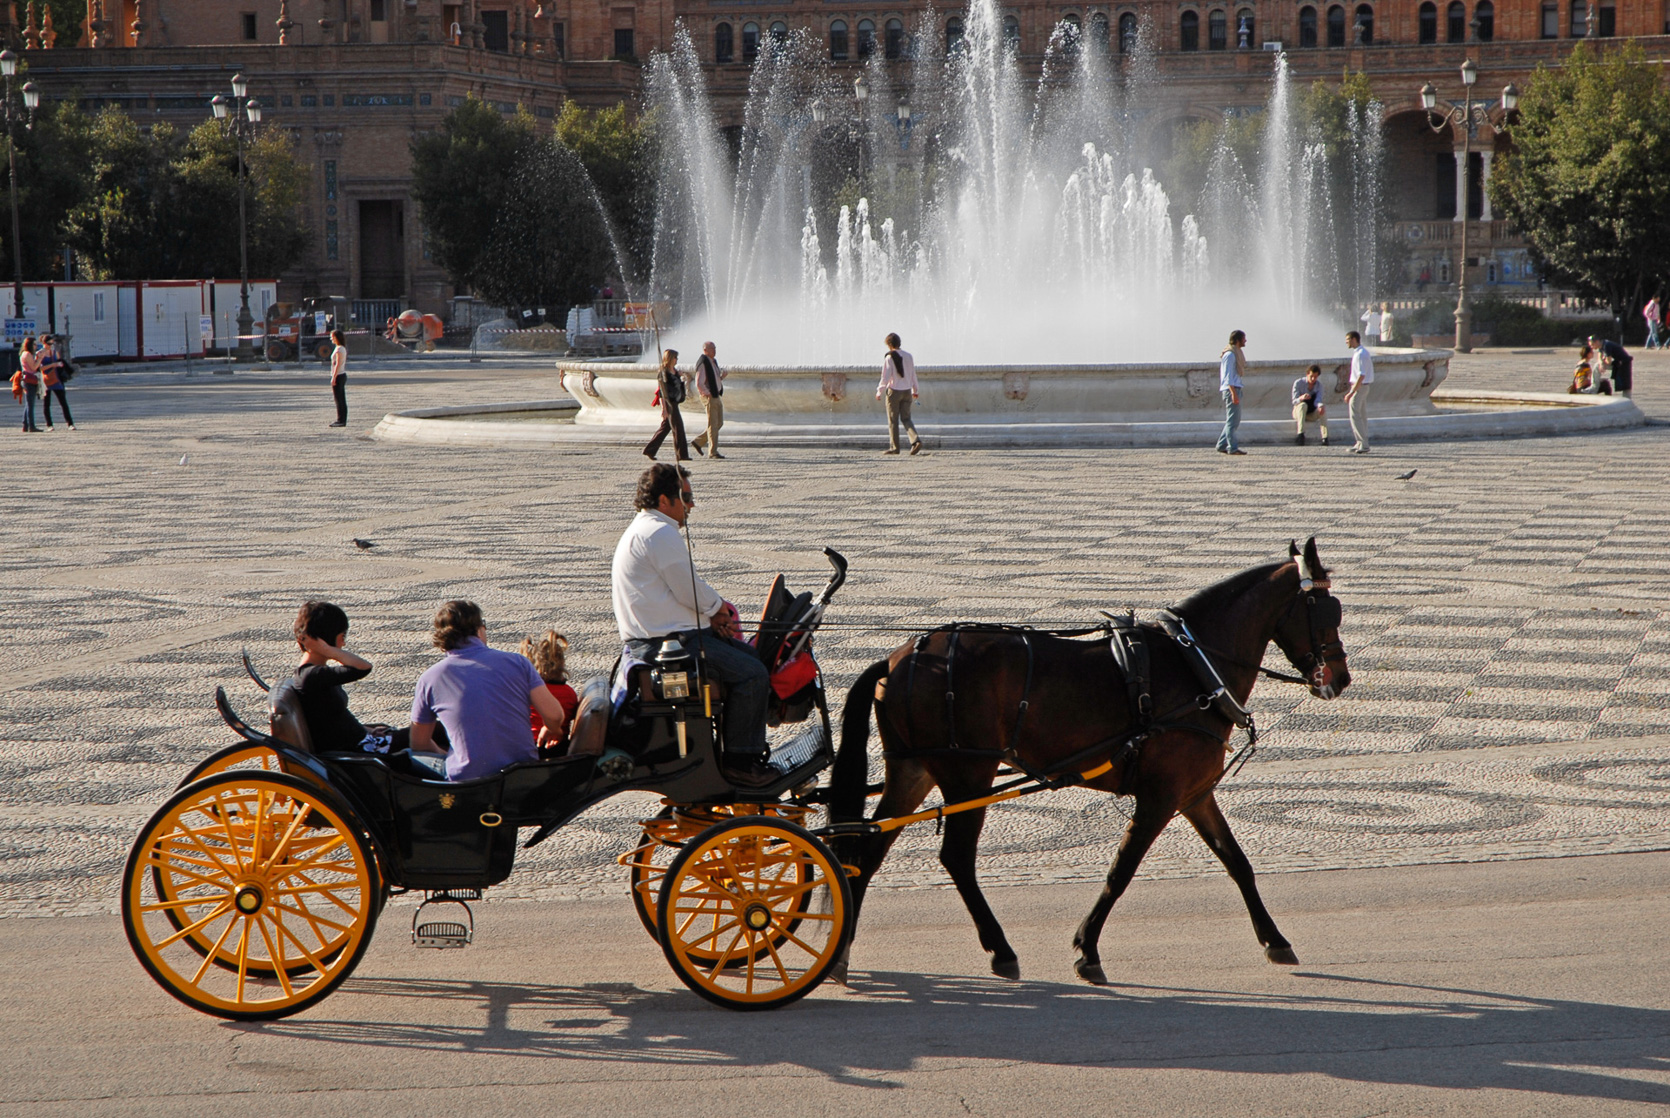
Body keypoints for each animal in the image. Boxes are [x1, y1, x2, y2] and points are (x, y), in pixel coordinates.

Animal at [828, 534, 1349, 982]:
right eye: (1328, 610)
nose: (1340, 678)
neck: (1194, 667)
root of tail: (899, 657)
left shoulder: (1195, 794)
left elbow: (1237, 862)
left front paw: (1274, 939)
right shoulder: (1160, 798)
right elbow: (1121, 871)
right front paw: (1087, 948)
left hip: (913, 773)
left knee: (869, 851)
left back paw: (842, 952)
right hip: (967, 778)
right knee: (955, 857)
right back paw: (1000, 949)